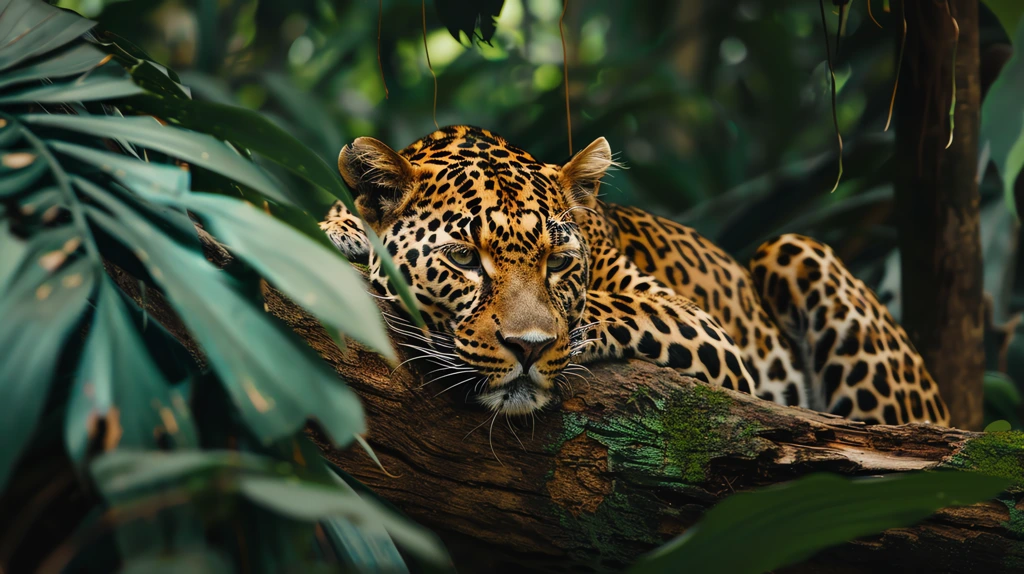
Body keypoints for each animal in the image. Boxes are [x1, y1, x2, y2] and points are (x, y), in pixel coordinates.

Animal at [319, 125, 950, 425]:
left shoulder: (709, 334)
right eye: (465, 259)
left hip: (795, 249)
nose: (529, 349)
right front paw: (341, 229)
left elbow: (606, 305)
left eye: (558, 262)